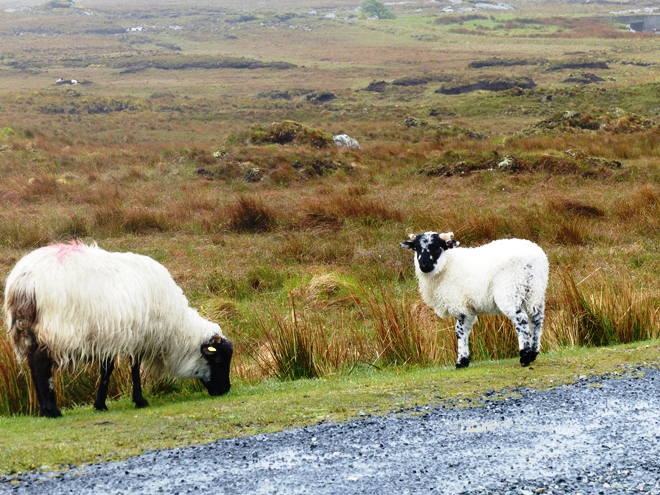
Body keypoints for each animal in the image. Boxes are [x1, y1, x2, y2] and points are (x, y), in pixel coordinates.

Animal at [2, 243, 233, 418]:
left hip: (27, 330)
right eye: (218, 359)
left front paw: (100, 404)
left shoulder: (108, 338)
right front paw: (140, 400)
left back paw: (43, 410)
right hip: (56, 329)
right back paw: (52, 411)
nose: (226, 390)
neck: (175, 329)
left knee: (32, 364)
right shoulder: (138, 336)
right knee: (41, 364)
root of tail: (24, 280)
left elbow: (107, 369)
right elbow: (134, 369)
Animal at [400, 232, 548, 368]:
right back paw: (533, 353)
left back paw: (525, 357)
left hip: (510, 291)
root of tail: (532, 260)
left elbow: (460, 331)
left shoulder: (460, 305)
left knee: (521, 320)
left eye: (437, 248)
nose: (424, 265)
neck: (447, 265)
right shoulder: (468, 308)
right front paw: (465, 360)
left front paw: (461, 361)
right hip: (535, 291)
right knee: (536, 319)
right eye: (416, 249)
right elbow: (465, 330)